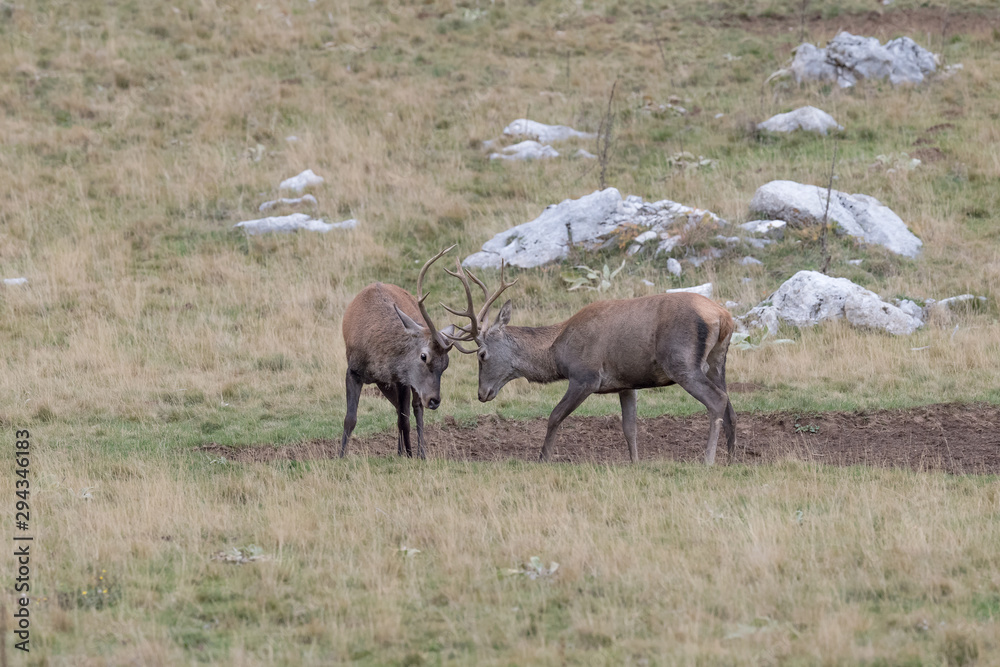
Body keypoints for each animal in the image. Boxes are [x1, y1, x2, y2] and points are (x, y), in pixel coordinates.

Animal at [339, 246, 456, 459]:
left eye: (446, 364)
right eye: (424, 356)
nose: (435, 400)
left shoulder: (403, 378)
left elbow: (405, 420)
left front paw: (410, 455)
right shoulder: (353, 370)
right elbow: (350, 418)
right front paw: (340, 456)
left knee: (415, 409)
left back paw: (419, 453)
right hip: (385, 383)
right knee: (398, 409)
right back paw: (401, 450)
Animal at [442, 261, 737, 464]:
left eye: (482, 355)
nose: (482, 393)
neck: (557, 352)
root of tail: (723, 316)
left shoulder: (585, 376)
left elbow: (554, 416)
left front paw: (542, 459)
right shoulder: (626, 383)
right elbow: (630, 428)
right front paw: (635, 462)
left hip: (681, 361)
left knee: (717, 400)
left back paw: (708, 459)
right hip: (717, 361)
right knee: (730, 405)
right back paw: (732, 459)